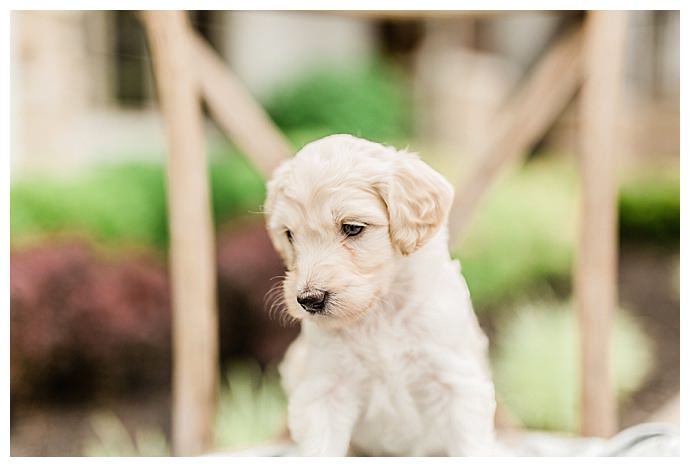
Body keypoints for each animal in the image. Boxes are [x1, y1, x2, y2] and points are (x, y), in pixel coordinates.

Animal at [264, 133, 494, 456]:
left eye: (352, 228)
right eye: (289, 235)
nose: (309, 300)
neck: (379, 312)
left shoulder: (455, 379)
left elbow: (471, 445)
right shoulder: (325, 389)